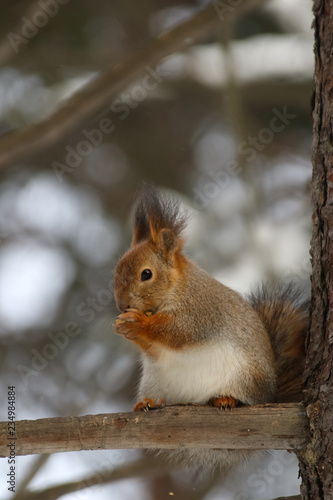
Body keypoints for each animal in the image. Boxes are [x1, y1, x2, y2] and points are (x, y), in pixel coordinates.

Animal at [112, 187, 308, 472]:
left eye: (146, 274)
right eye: (115, 272)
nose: (121, 305)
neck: (177, 288)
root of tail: (269, 394)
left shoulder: (198, 314)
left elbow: (177, 332)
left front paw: (138, 324)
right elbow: (155, 349)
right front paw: (124, 327)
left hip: (244, 377)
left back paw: (226, 399)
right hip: (155, 381)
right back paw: (149, 402)